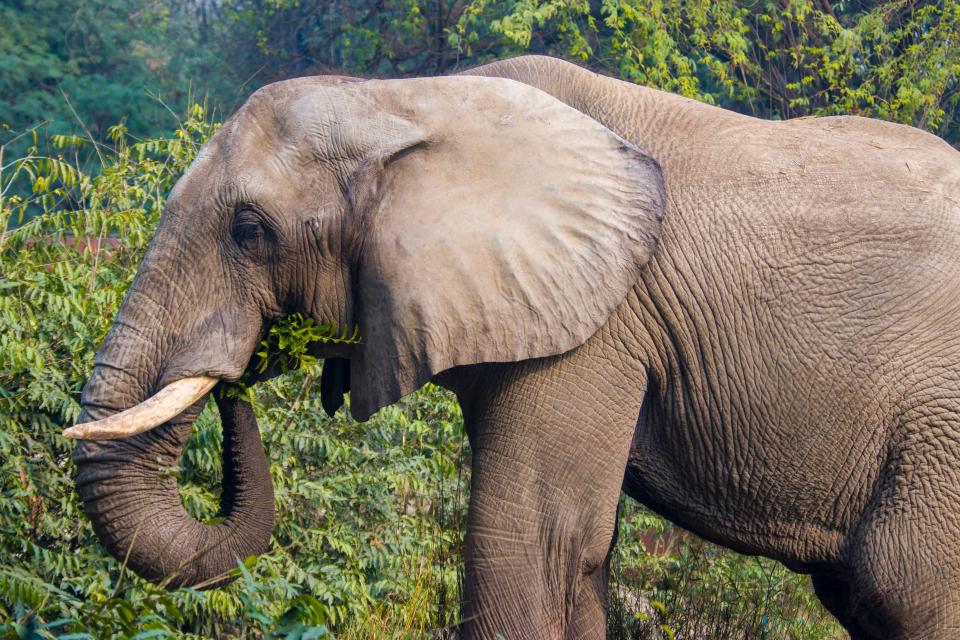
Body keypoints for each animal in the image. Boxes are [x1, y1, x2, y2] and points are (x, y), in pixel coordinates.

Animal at [64, 55, 960, 639]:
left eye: (250, 230)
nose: (235, 378)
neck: (411, 97)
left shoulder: (593, 323)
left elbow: (535, 547)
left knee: (903, 586)